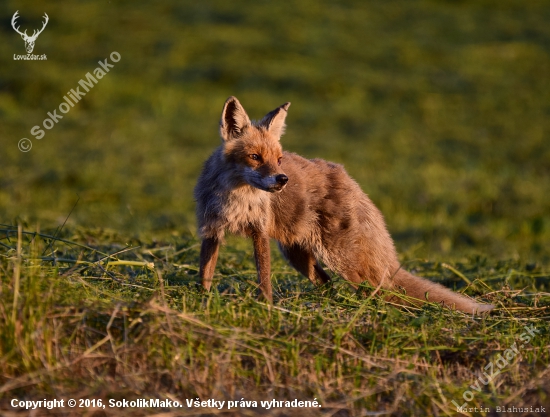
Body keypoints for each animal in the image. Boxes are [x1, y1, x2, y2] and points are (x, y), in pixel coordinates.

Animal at [194, 96, 496, 312]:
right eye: (255, 157)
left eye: (278, 159)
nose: (282, 180)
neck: (237, 198)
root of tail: (350, 179)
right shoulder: (212, 230)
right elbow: (205, 274)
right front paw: (202, 302)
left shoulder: (259, 231)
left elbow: (264, 277)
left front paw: (265, 306)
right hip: (298, 255)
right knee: (329, 284)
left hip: (340, 259)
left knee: (377, 289)